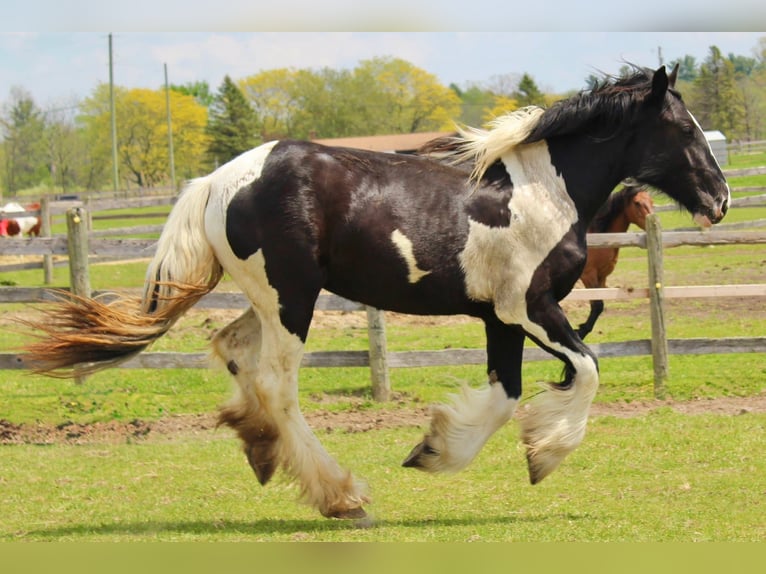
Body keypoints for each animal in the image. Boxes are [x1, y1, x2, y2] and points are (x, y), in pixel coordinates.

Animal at [576, 185, 655, 339]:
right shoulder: (588, 275)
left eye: (652, 201)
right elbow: (597, 305)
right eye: (637, 203)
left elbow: (598, 305)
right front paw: (580, 332)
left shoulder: (602, 276)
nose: (653, 218)